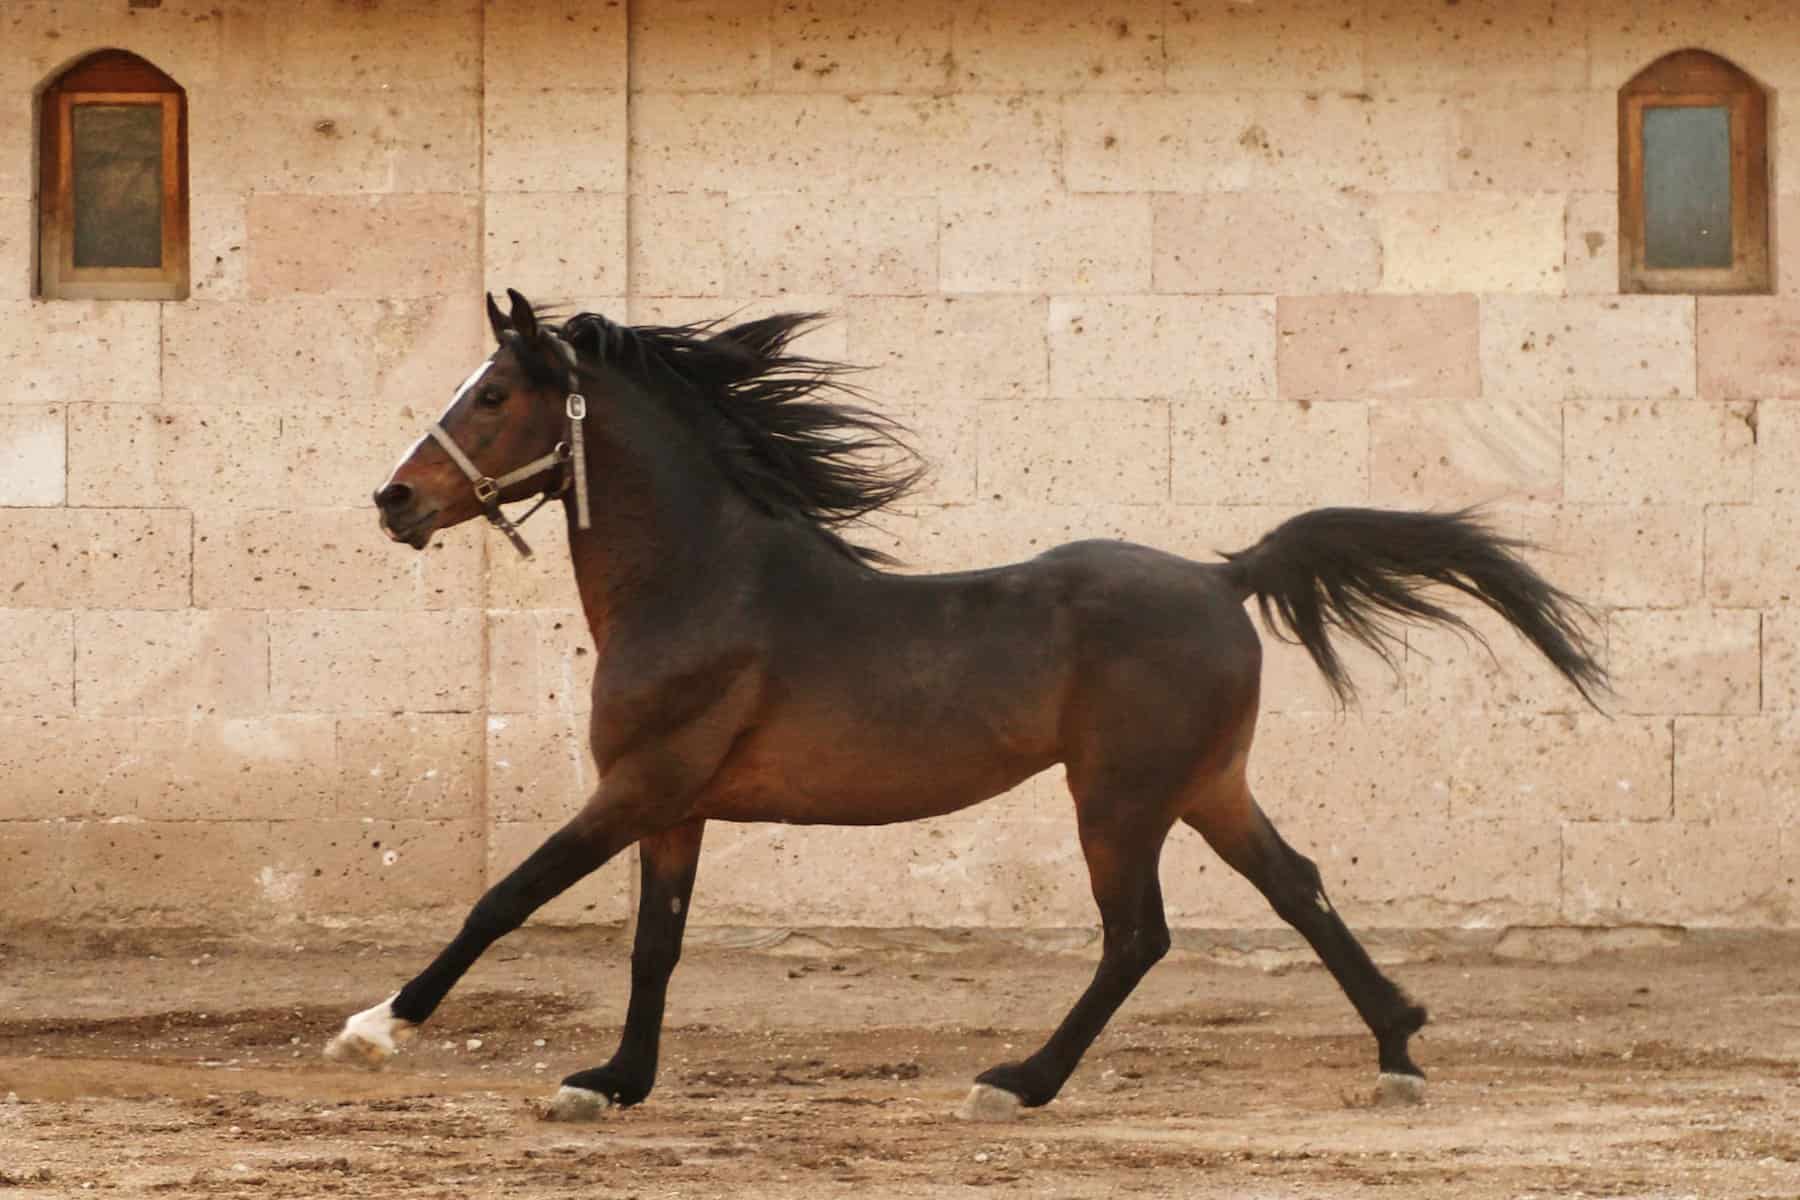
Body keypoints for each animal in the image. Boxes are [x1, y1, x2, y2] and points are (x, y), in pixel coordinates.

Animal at [326, 289, 1607, 1122]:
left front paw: (378, 1027)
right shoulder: (675, 808)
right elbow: (657, 945)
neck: (703, 582)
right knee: (1299, 889)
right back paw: (1399, 1049)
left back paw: (1018, 1083)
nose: (394, 501)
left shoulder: (638, 786)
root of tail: (1223, 577)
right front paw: (613, 1082)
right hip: (1207, 787)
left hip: (1120, 799)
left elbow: (505, 898)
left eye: (493, 393)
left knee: (1138, 937)